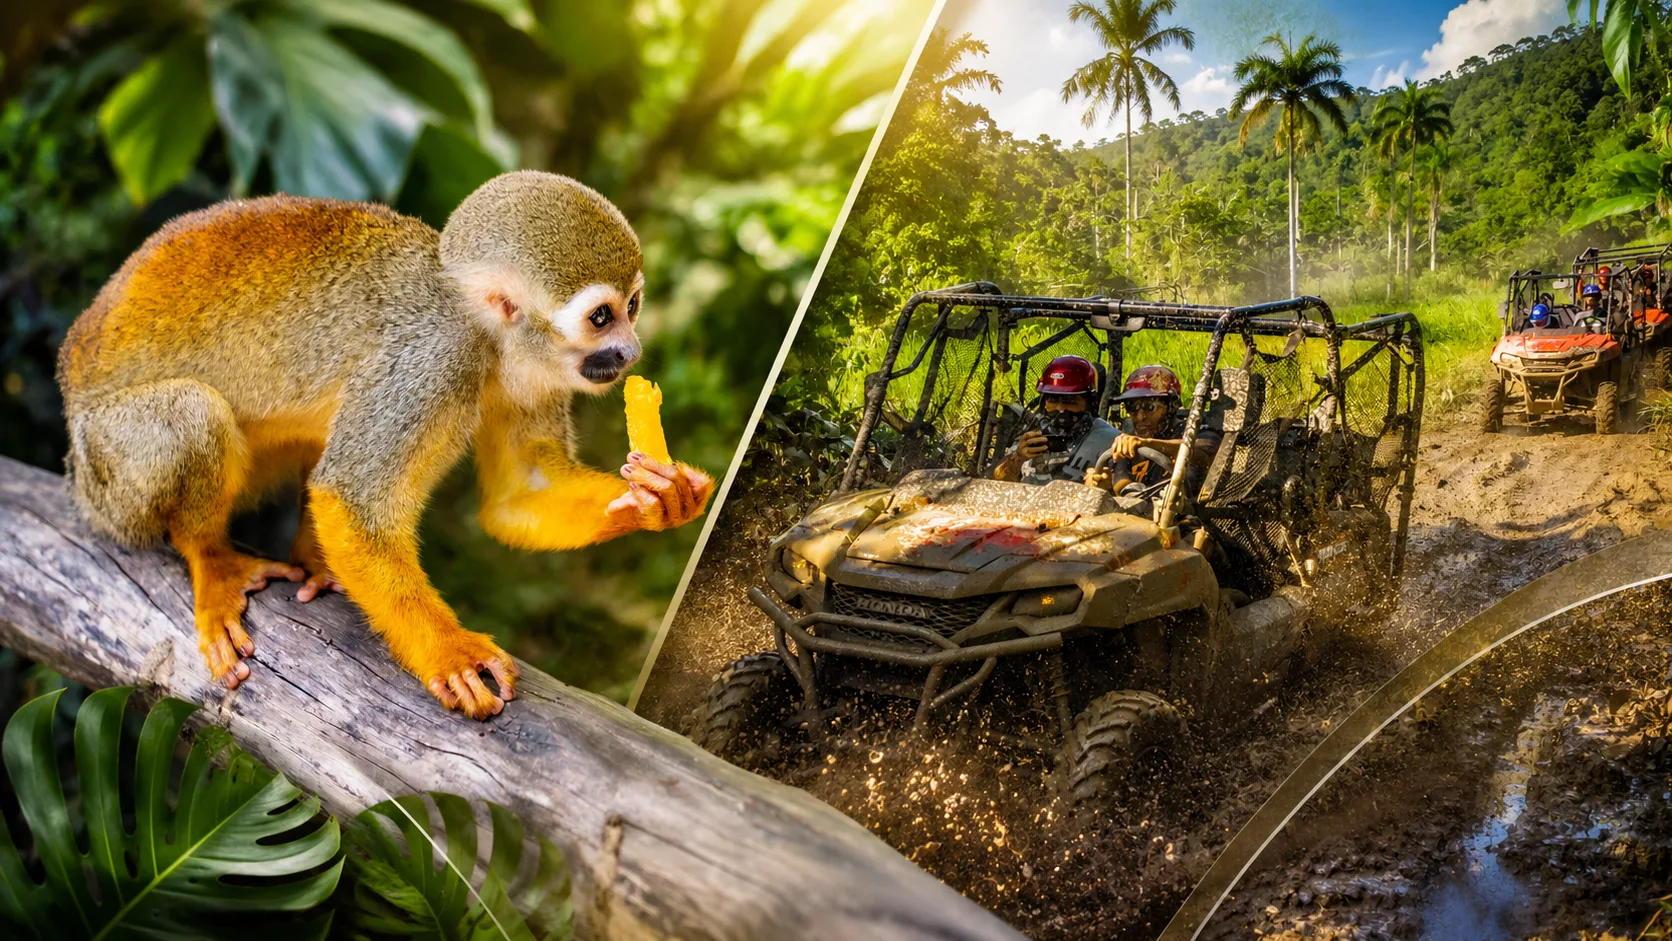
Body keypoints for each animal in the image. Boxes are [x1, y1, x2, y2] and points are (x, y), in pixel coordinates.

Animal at [56, 170, 714, 720]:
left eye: (633, 307)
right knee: (192, 414)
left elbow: (519, 494)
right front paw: (451, 653)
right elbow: (352, 498)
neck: (484, 336)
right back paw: (209, 557)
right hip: (107, 475)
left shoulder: (532, 374)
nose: (630, 351)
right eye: (602, 318)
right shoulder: (431, 363)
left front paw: (658, 499)